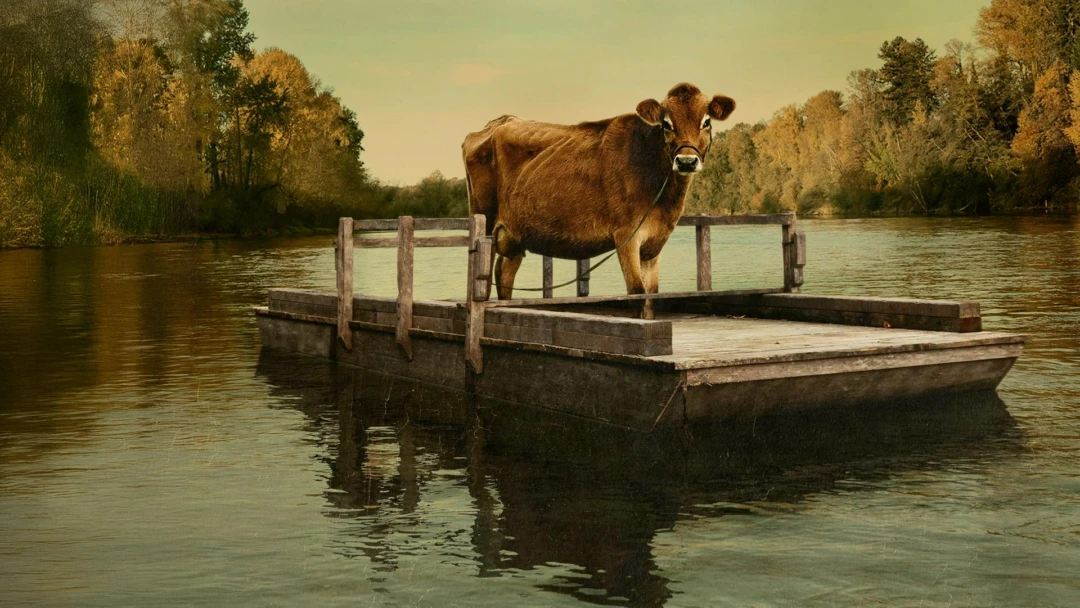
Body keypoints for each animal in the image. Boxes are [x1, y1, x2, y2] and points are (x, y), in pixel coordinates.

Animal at [462, 83, 735, 318]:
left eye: (706, 121)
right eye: (666, 124)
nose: (686, 161)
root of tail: (498, 123)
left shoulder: (654, 243)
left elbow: (651, 296)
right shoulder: (626, 235)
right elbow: (636, 293)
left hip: (515, 234)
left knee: (504, 274)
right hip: (485, 221)